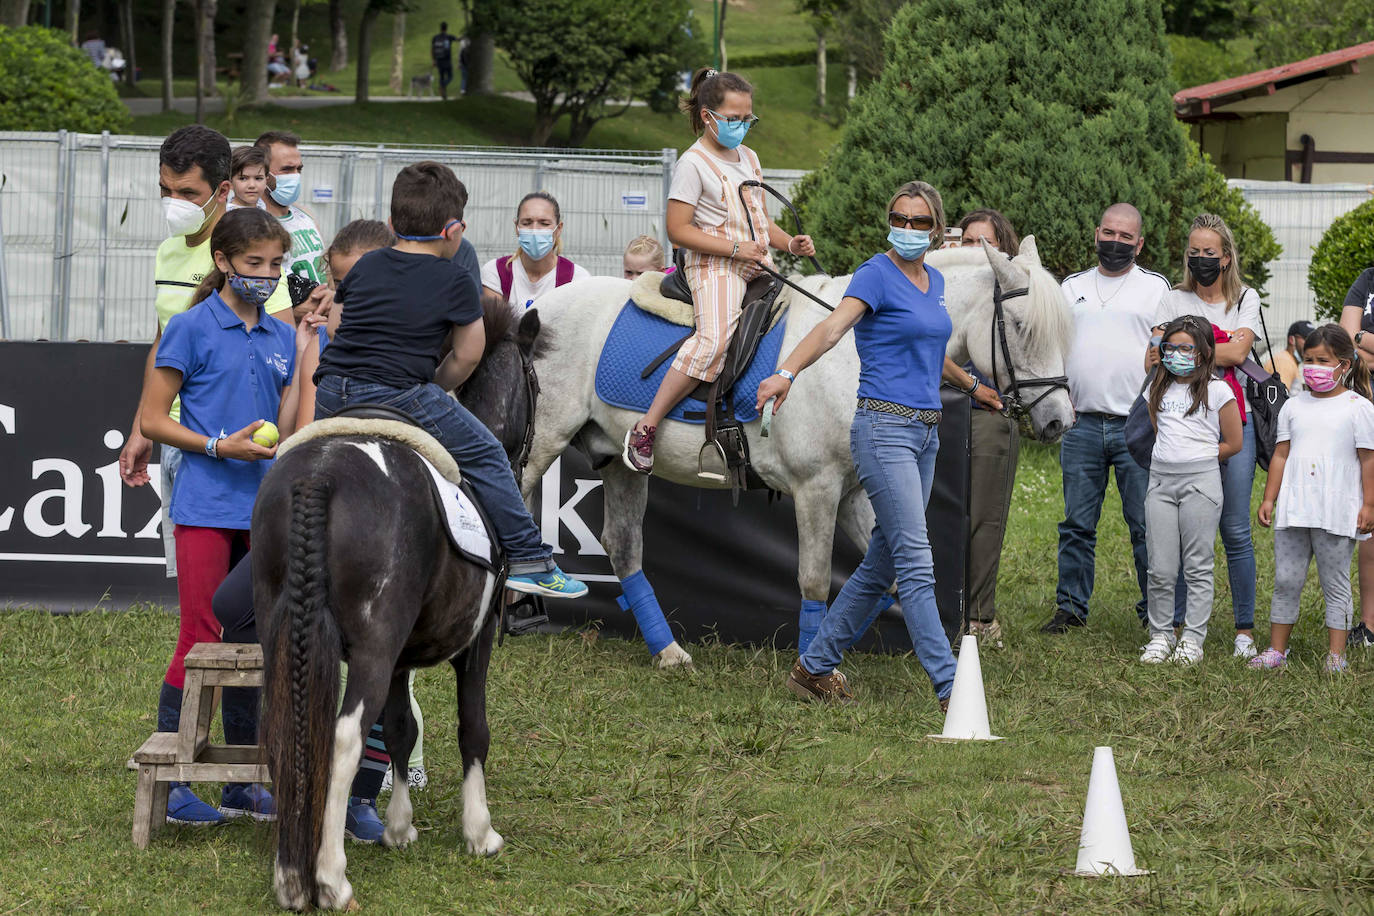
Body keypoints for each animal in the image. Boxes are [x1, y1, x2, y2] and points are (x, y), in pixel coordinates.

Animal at [255, 300, 538, 911]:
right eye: (534, 382)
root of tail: (319, 476)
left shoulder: (403, 655)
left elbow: (402, 727)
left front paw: (399, 826)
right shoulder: (474, 641)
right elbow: (472, 726)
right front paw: (479, 831)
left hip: (282, 631)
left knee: (285, 725)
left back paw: (291, 875)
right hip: (372, 646)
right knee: (344, 737)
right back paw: (330, 878)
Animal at [522, 236, 1071, 667]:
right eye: (1019, 326)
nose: (1059, 419)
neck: (850, 359)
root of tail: (531, 312)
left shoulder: (856, 493)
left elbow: (885, 574)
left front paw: (833, 646)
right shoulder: (816, 489)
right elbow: (813, 580)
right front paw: (814, 659)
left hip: (621, 462)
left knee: (621, 545)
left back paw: (667, 651)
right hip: (541, 443)